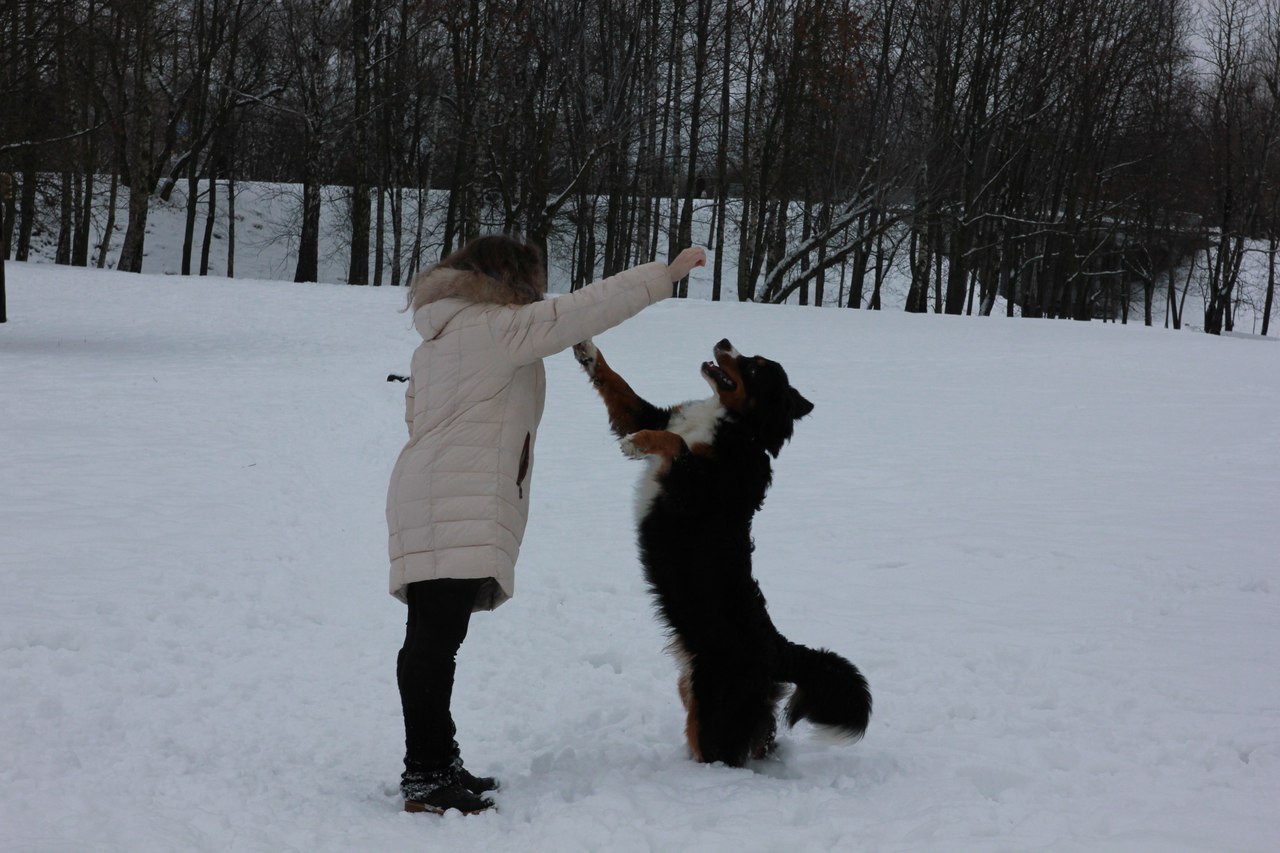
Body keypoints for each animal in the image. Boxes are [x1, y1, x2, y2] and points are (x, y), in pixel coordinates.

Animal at [578, 333, 870, 763]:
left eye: (753, 367)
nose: (724, 340)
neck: (737, 427)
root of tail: (777, 648)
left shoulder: (690, 487)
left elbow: (674, 443)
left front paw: (635, 445)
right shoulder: (656, 416)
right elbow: (620, 387)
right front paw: (587, 350)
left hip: (714, 713)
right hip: (703, 697)